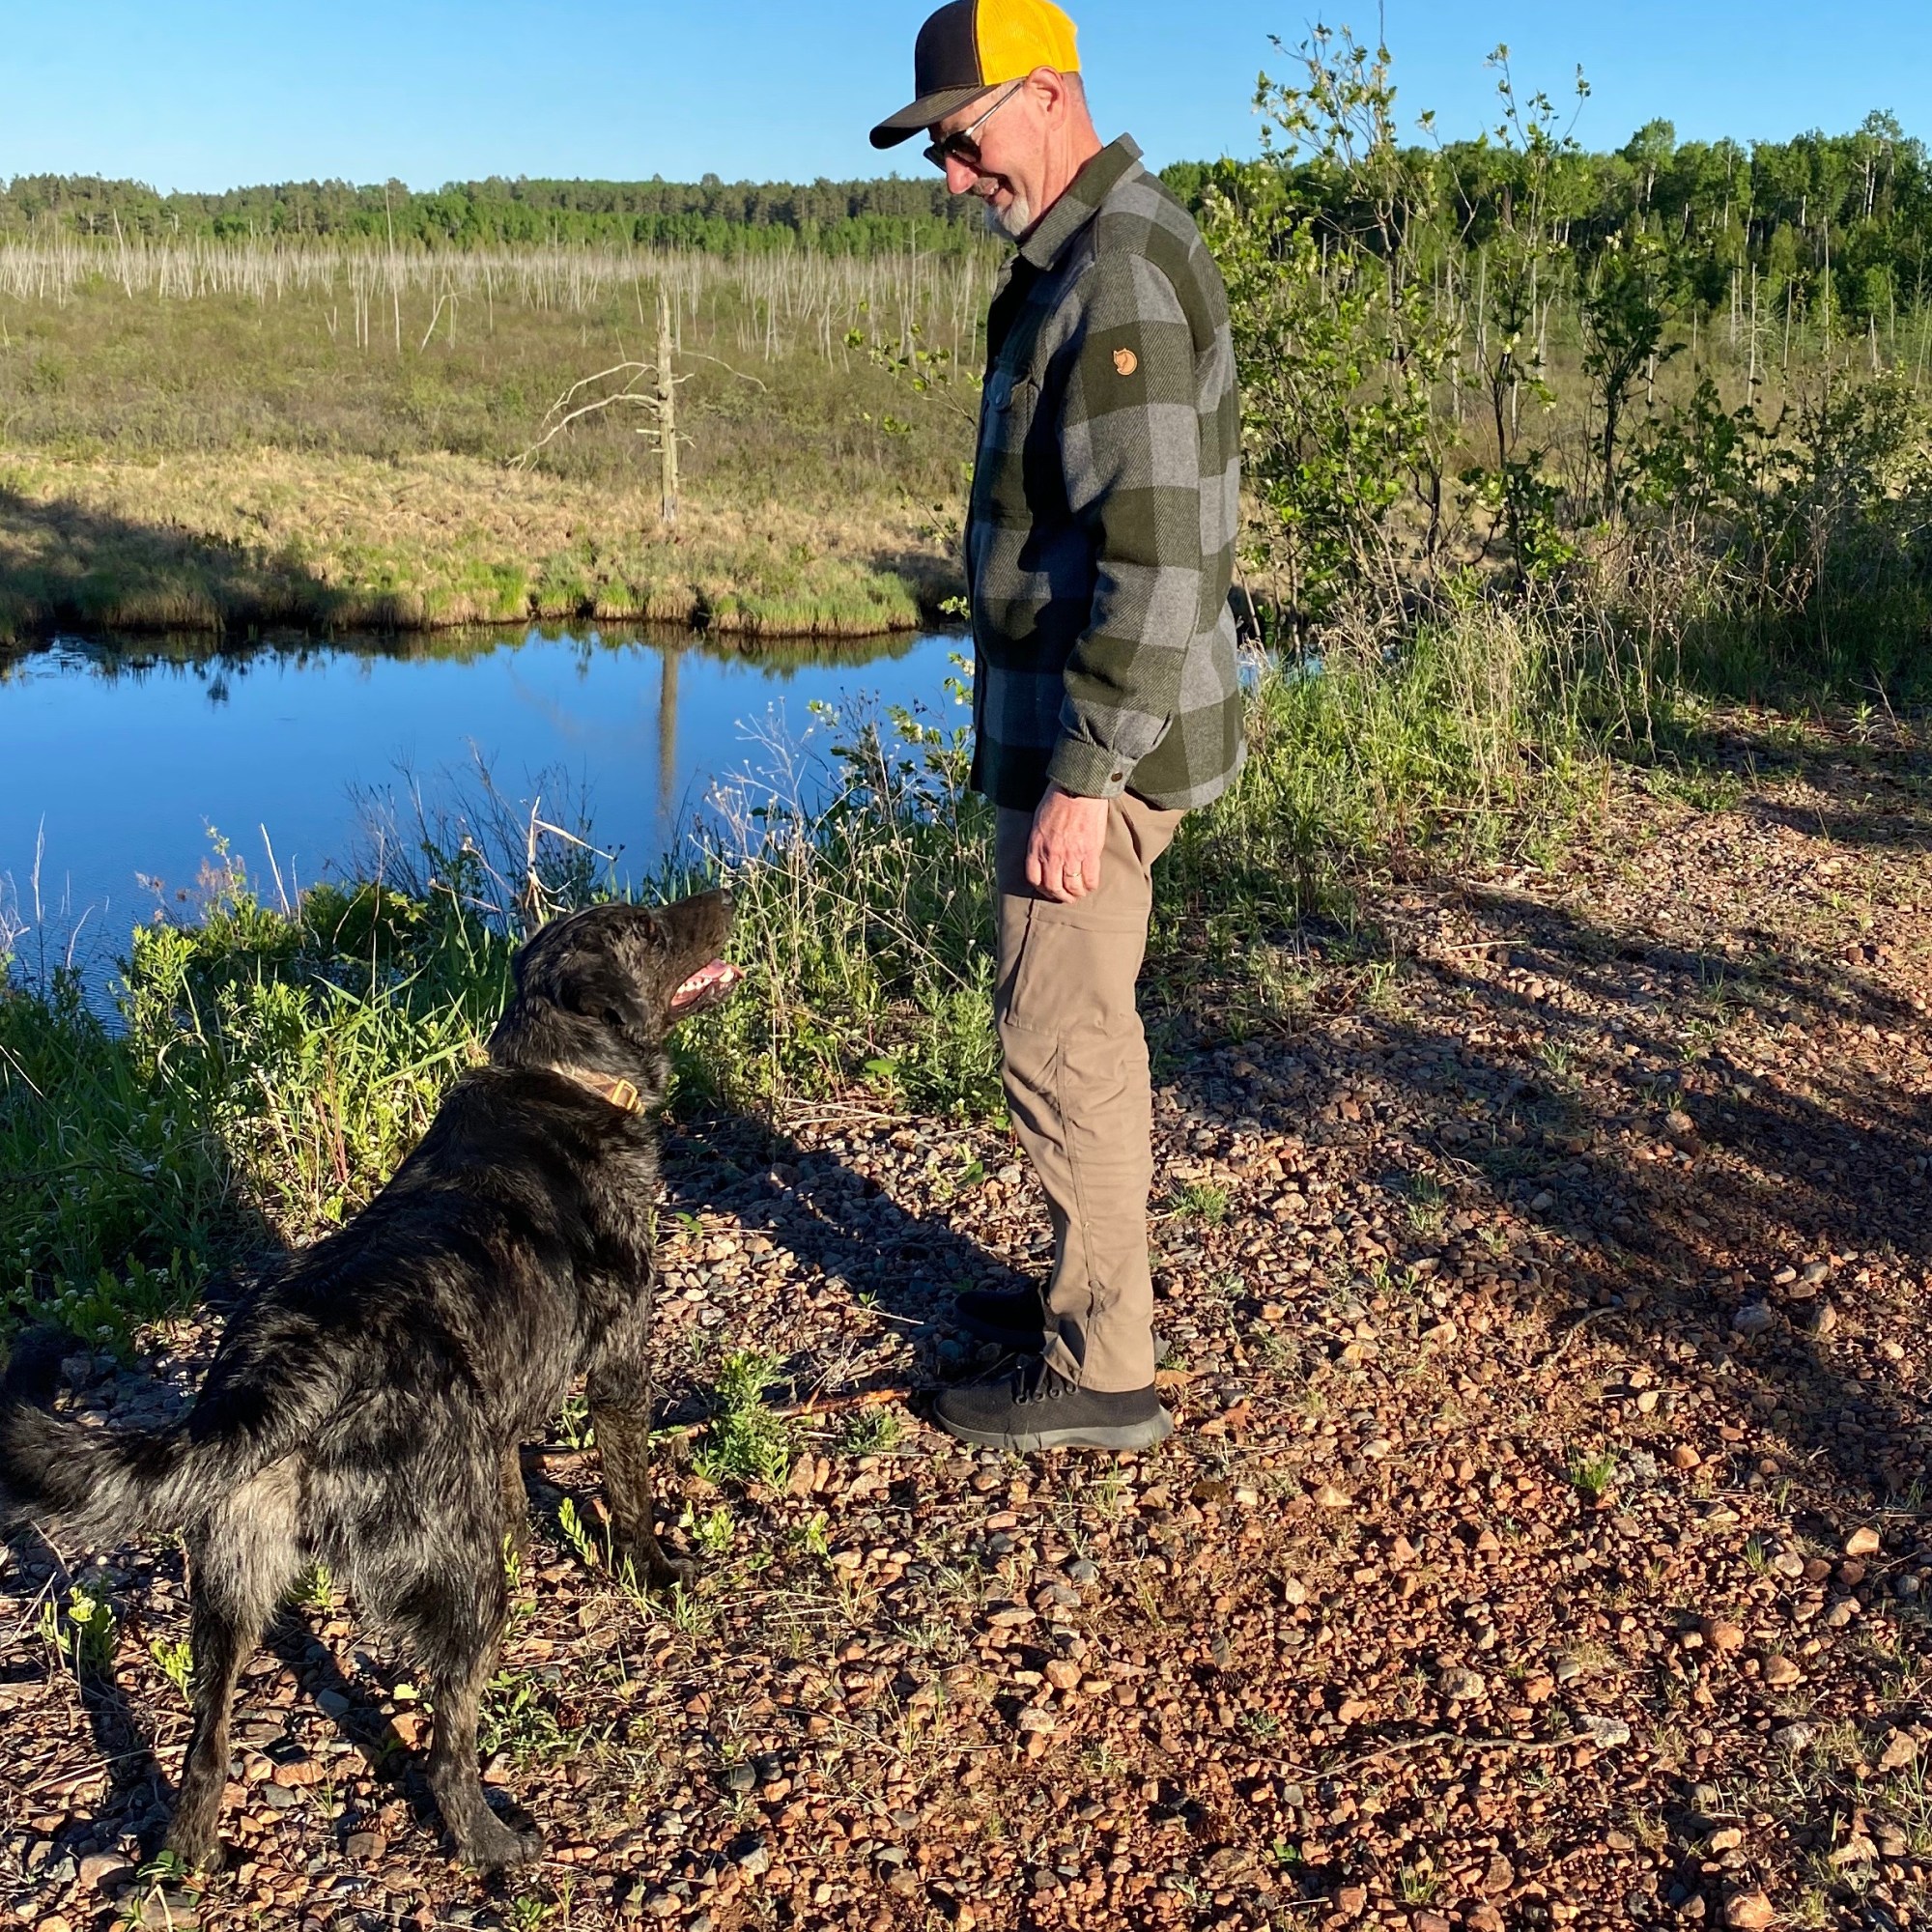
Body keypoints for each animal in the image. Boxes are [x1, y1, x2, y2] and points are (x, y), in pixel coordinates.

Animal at [0, 891, 740, 1871]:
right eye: (649, 929)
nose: (723, 896)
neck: (560, 1076)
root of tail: (288, 1370)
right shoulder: (619, 1365)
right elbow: (629, 1491)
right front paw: (655, 1572)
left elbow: (513, 1488)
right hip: (459, 1595)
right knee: (446, 1749)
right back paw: (492, 1843)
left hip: (227, 1593)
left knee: (205, 1751)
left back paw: (189, 1861)